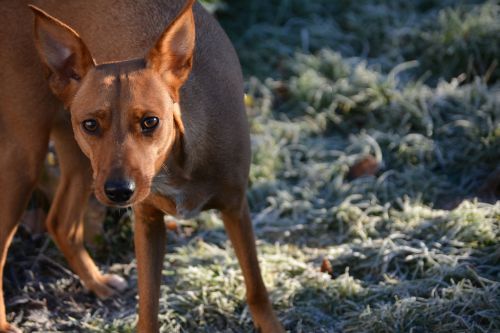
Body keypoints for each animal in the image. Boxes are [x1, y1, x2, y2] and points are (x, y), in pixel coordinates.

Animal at [0, 1, 282, 330]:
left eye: (150, 121)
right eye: (91, 124)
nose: (119, 191)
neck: (179, 162)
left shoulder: (236, 208)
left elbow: (257, 289)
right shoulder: (147, 222)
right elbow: (147, 308)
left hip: (82, 165)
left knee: (60, 223)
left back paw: (96, 283)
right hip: (29, 158)